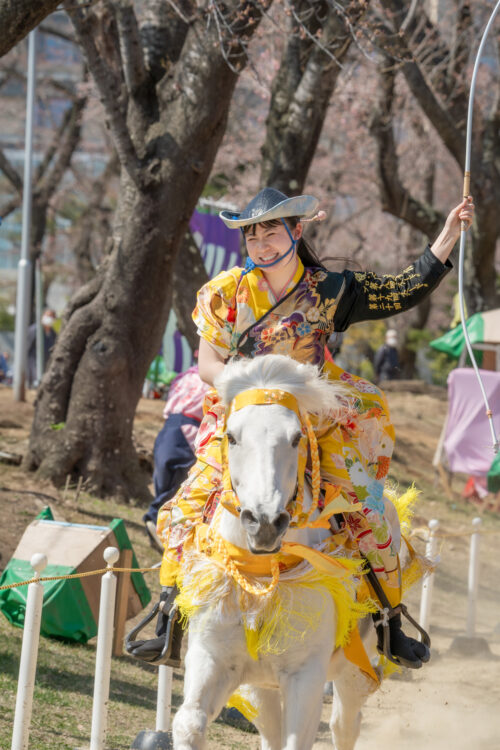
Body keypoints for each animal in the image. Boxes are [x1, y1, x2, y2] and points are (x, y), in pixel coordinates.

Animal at [174, 356, 384, 750]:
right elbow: (188, 723)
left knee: (344, 726)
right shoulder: (212, 657)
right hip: (261, 686)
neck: (260, 577)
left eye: (297, 437)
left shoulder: (306, 674)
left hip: (354, 668)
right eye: (232, 436)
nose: (265, 522)